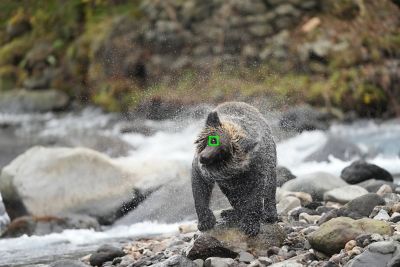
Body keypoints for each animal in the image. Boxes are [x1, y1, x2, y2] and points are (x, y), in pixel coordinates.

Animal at [192, 101, 276, 237]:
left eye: (224, 150)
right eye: (213, 139)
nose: (204, 158)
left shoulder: (255, 164)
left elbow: (256, 190)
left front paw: (250, 225)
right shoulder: (203, 170)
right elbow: (199, 187)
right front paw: (205, 221)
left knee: (270, 185)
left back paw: (269, 214)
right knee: (233, 194)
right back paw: (231, 212)